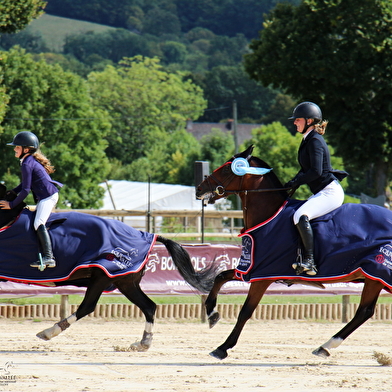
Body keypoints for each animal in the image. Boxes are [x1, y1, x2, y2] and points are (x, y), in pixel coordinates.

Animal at [0, 184, 217, 350]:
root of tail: (146, 235)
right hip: (125, 282)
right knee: (149, 306)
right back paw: (143, 343)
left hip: (102, 276)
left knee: (87, 306)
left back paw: (49, 331)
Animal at [196, 145, 392, 360]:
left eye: (225, 169)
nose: (199, 189)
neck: (269, 215)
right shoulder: (250, 269)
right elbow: (221, 276)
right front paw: (212, 314)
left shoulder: (262, 275)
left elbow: (246, 311)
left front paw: (223, 347)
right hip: (374, 277)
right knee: (365, 311)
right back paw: (325, 347)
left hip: (377, 272)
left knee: (364, 311)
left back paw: (327, 346)